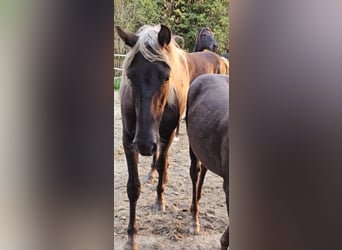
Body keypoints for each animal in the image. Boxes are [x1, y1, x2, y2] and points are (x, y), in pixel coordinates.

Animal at [115, 23, 230, 250]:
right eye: (130, 76)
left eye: (166, 77)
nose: (144, 144)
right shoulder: (129, 139)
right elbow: (133, 187)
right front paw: (131, 237)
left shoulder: (166, 133)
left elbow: (161, 163)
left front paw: (160, 200)